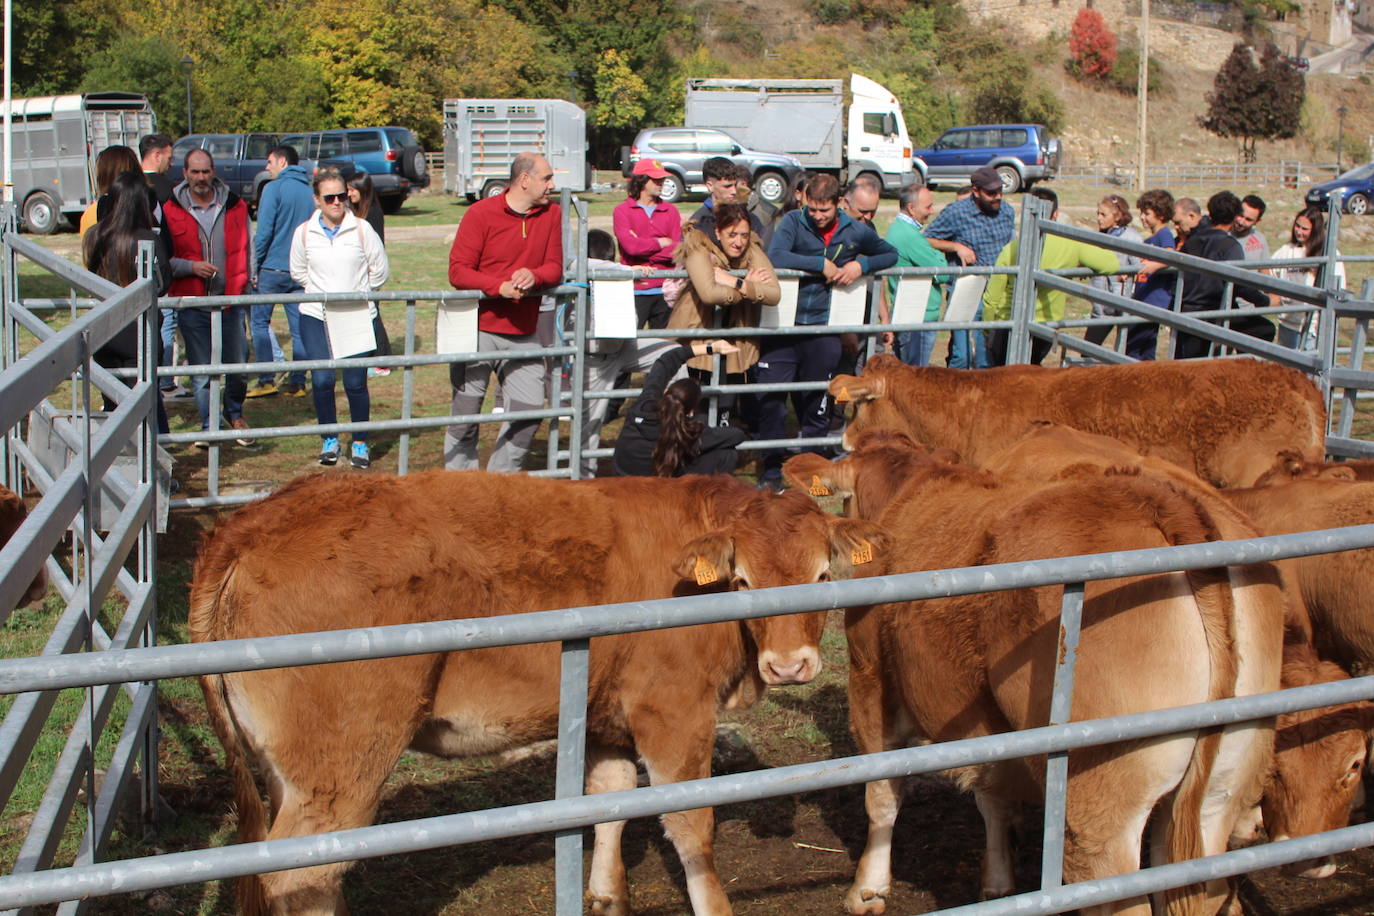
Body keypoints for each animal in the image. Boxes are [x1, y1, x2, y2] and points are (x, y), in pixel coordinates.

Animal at [190, 472, 879, 916]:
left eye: (824, 575)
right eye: (743, 581)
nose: (788, 666)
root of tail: (257, 518)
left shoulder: (605, 715)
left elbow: (609, 802)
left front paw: (604, 893)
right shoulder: (673, 713)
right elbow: (691, 826)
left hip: (287, 773)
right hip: (340, 771)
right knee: (301, 878)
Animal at [791, 431, 1280, 916]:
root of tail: (1157, 500)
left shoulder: (870, 675)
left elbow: (882, 793)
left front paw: (867, 889)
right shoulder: (985, 718)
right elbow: (993, 794)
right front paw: (997, 882)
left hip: (1099, 812)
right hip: (1217, 795)